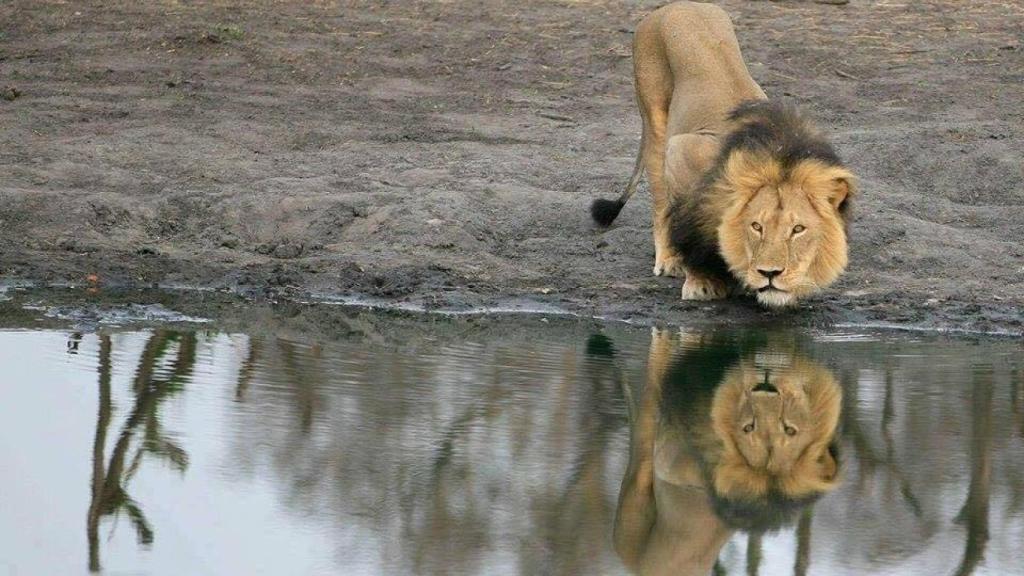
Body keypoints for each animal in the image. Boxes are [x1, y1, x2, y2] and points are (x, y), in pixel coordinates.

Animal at [591, 2, 856, 307]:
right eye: (757, 227)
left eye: (798, 230)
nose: (771, 273)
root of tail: (670, 7)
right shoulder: (682, 152)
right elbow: (685, 224)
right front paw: (700, 282)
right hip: (656, 122)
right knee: (660, 204)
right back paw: (668, 260)